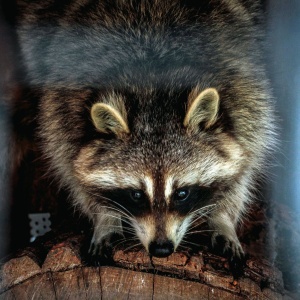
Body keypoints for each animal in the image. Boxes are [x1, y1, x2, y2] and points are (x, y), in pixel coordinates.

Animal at [14, 0, 276, 258]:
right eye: (136, 195)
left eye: (182, 193)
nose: (161, 248)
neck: (153, 90)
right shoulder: (61, 113)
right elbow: (74, 174)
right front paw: (105, 217)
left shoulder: (248, 104)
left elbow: (241, 173)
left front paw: (223, 218)